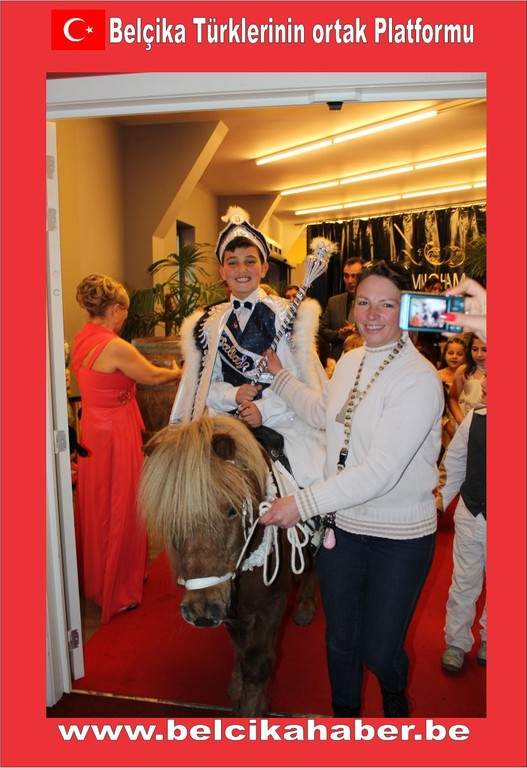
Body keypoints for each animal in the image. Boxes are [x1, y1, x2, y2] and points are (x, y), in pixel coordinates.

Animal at [138, 414, 318, 717]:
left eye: (232, 510)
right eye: (172, 520)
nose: (199, 610)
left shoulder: (271, 605)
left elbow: (257, 664)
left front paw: (252, 709)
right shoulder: (232, 607)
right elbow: (240, 647)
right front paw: (237, 685)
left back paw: (306, 605)